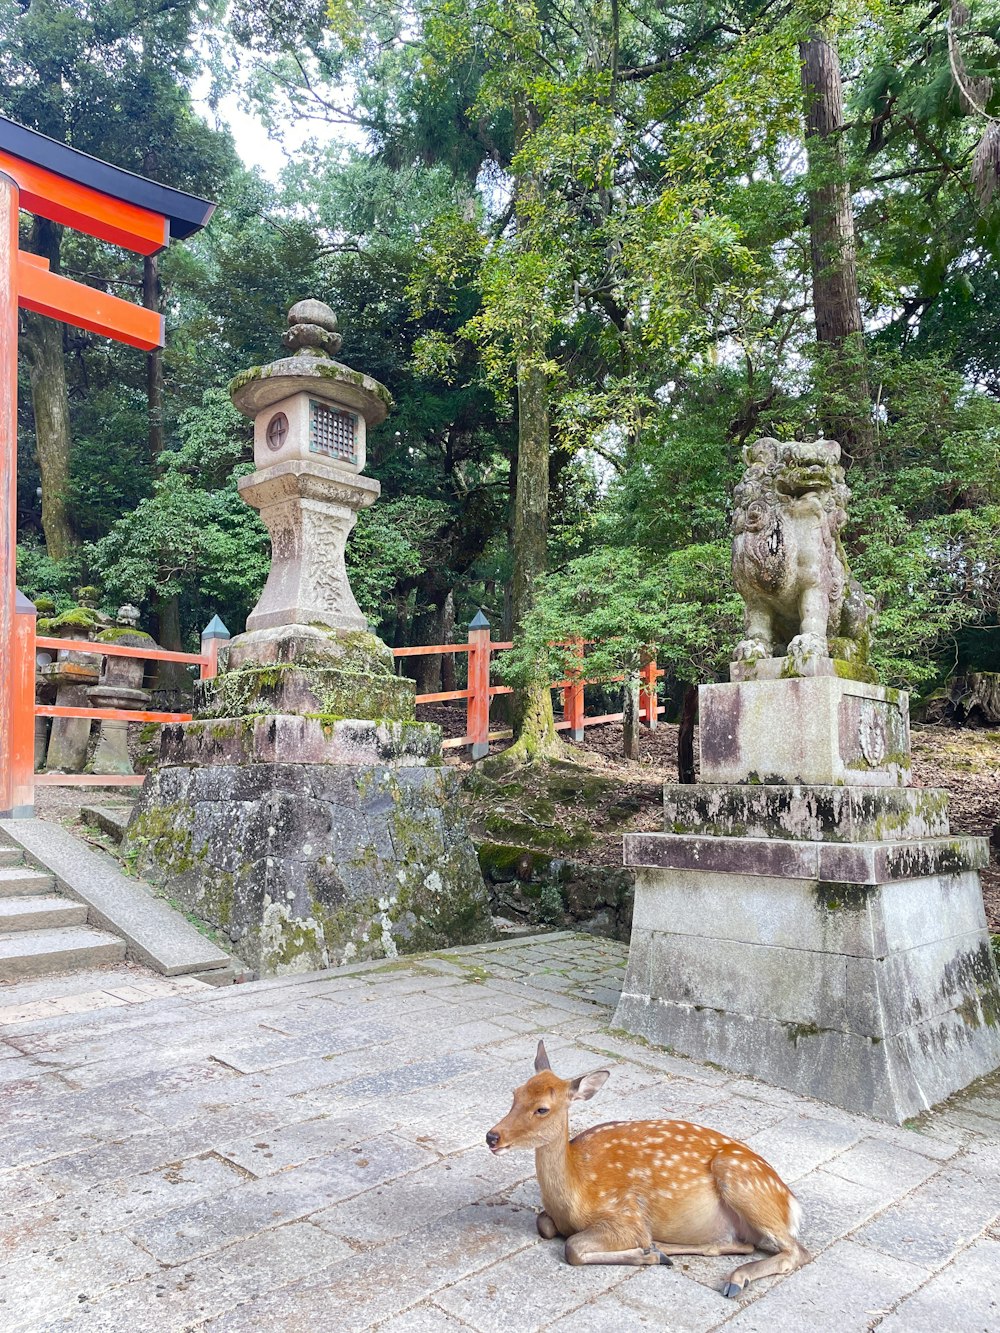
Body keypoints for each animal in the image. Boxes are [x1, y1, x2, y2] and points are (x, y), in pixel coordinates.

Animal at [482, 1034, 805, 1295]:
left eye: (542, 1109)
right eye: (515, 1093)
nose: (492, 1136)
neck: (577, 1194)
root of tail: (792, 1204)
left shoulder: (626, 1215)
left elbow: (572, 1247)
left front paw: (643, 1253)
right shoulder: (556, 1218)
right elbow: (544, 1224)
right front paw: (650, 1252)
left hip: (740, 1178)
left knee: (796, 1251)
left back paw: (734, 1279)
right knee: (745, 1244)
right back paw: (664, 1250)